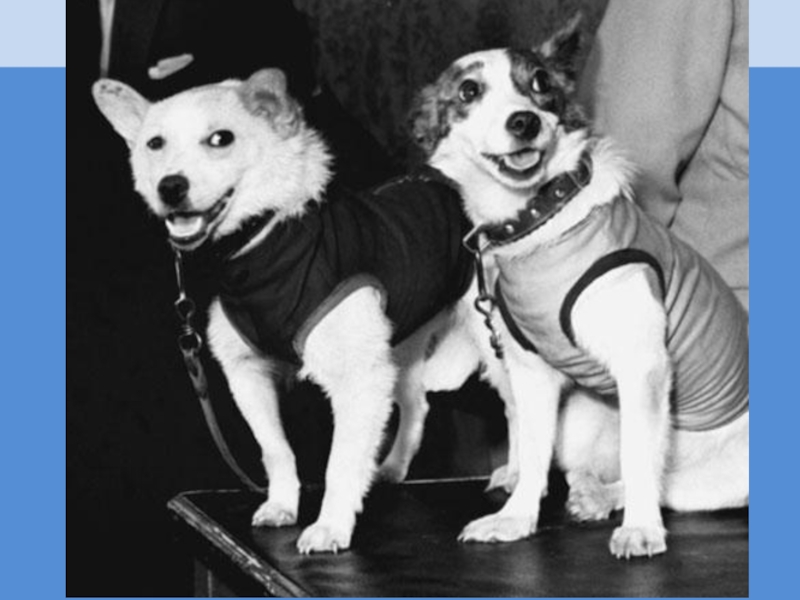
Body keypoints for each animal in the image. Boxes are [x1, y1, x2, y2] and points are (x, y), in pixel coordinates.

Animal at [91, 68, 507, 553]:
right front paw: (283, 504)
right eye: (154, 144)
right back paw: (391, 467)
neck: (264, 242)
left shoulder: (358, 380)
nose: (170, 187)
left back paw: (514, 481)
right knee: (416, 401)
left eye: (220, 139)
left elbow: (339, 463)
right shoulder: (247, 375)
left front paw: (331, 525)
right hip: (400, 346)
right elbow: (275, 449)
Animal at [411, 16, 749, 558]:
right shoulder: (531, 375)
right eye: (468, 91)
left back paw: (613, 500)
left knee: (658, 481)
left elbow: (640, 460)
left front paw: (641, 528)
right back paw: (590, 491)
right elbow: (531, 452)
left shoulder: (642, 366)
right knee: (598, 469)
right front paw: (516, 518)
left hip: (716, 477)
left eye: (540, 83)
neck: (540, 221)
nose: (524, 122)